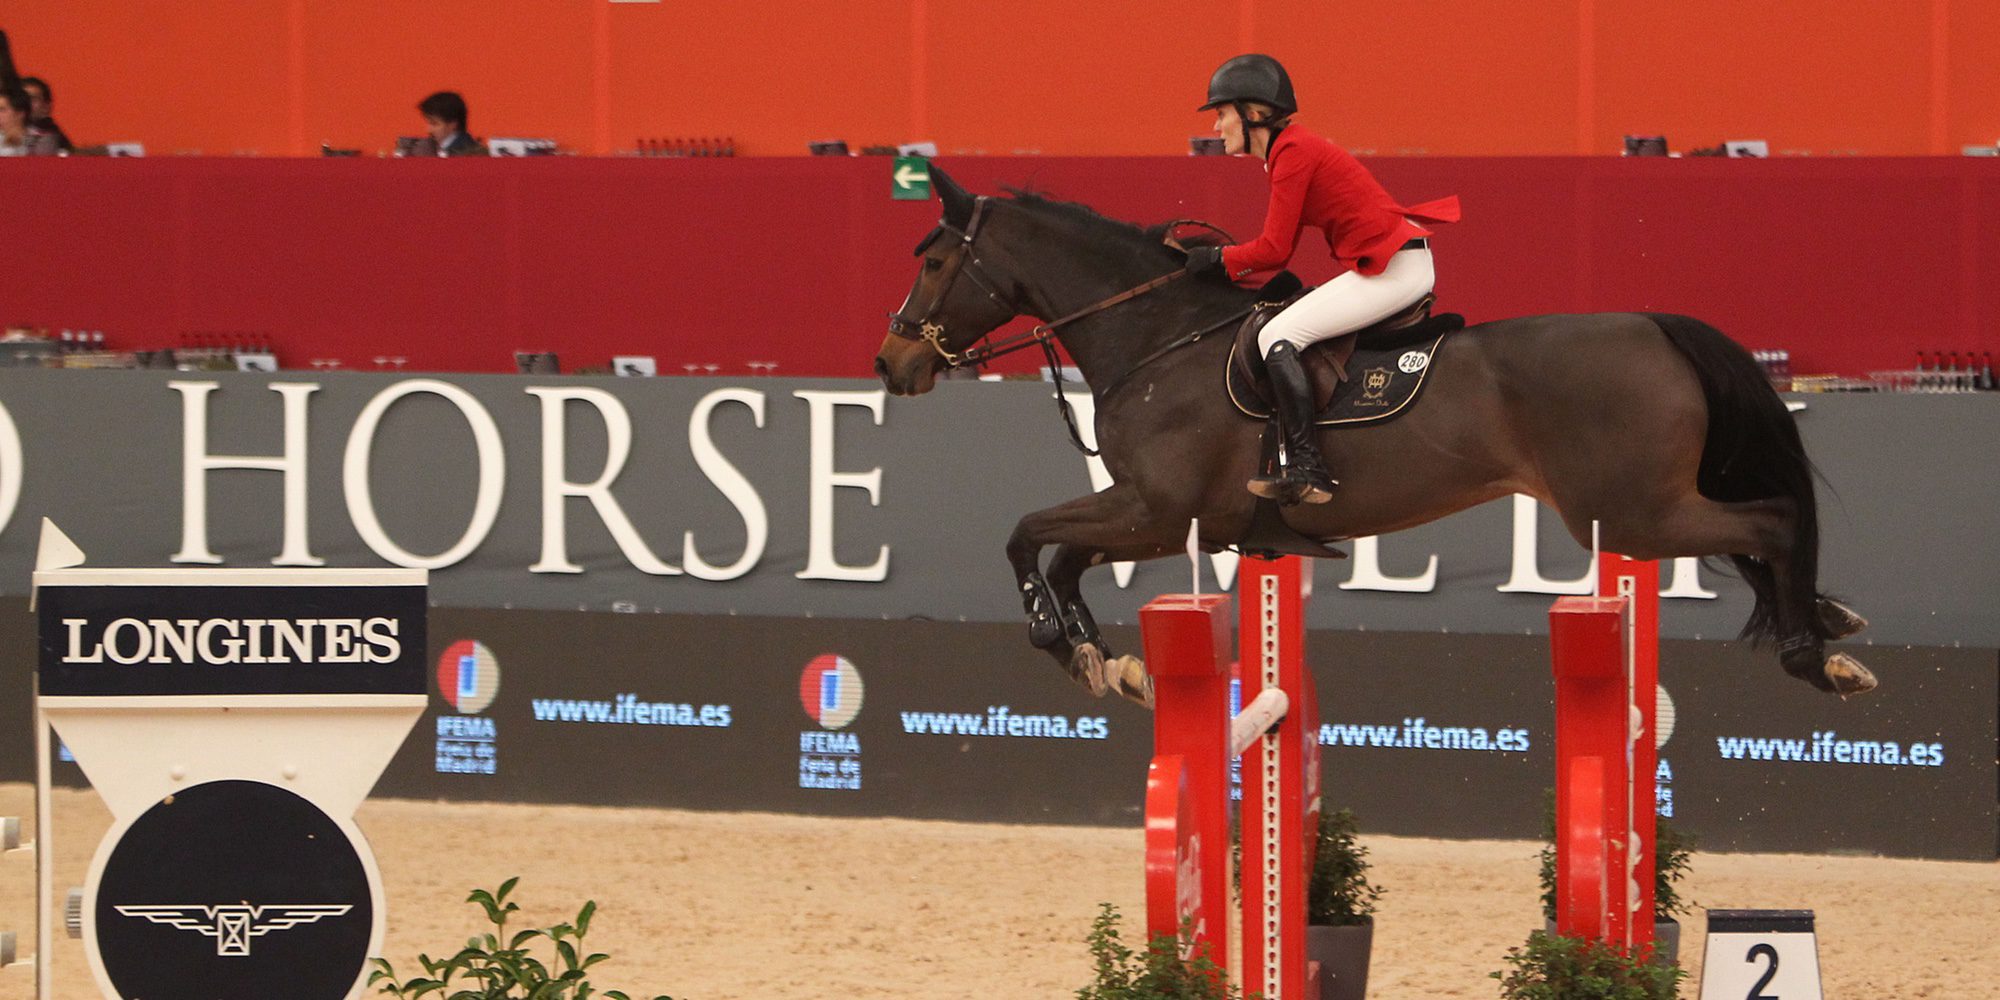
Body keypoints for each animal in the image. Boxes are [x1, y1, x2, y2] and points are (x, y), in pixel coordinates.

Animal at [876, 168, 1872, 708]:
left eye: (935, 261)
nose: (892, 363)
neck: (1156, 336)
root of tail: (1656, 326)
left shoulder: (1158, 510)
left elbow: (1027, 538)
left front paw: (1062, 640)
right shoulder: (1154, 517)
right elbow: (1061, 555)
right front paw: (1105, 659)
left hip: (1633, 513)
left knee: (1775, 522)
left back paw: (1813, 651)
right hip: (1650, 505)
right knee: (1765, 529)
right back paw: (1828, 626)